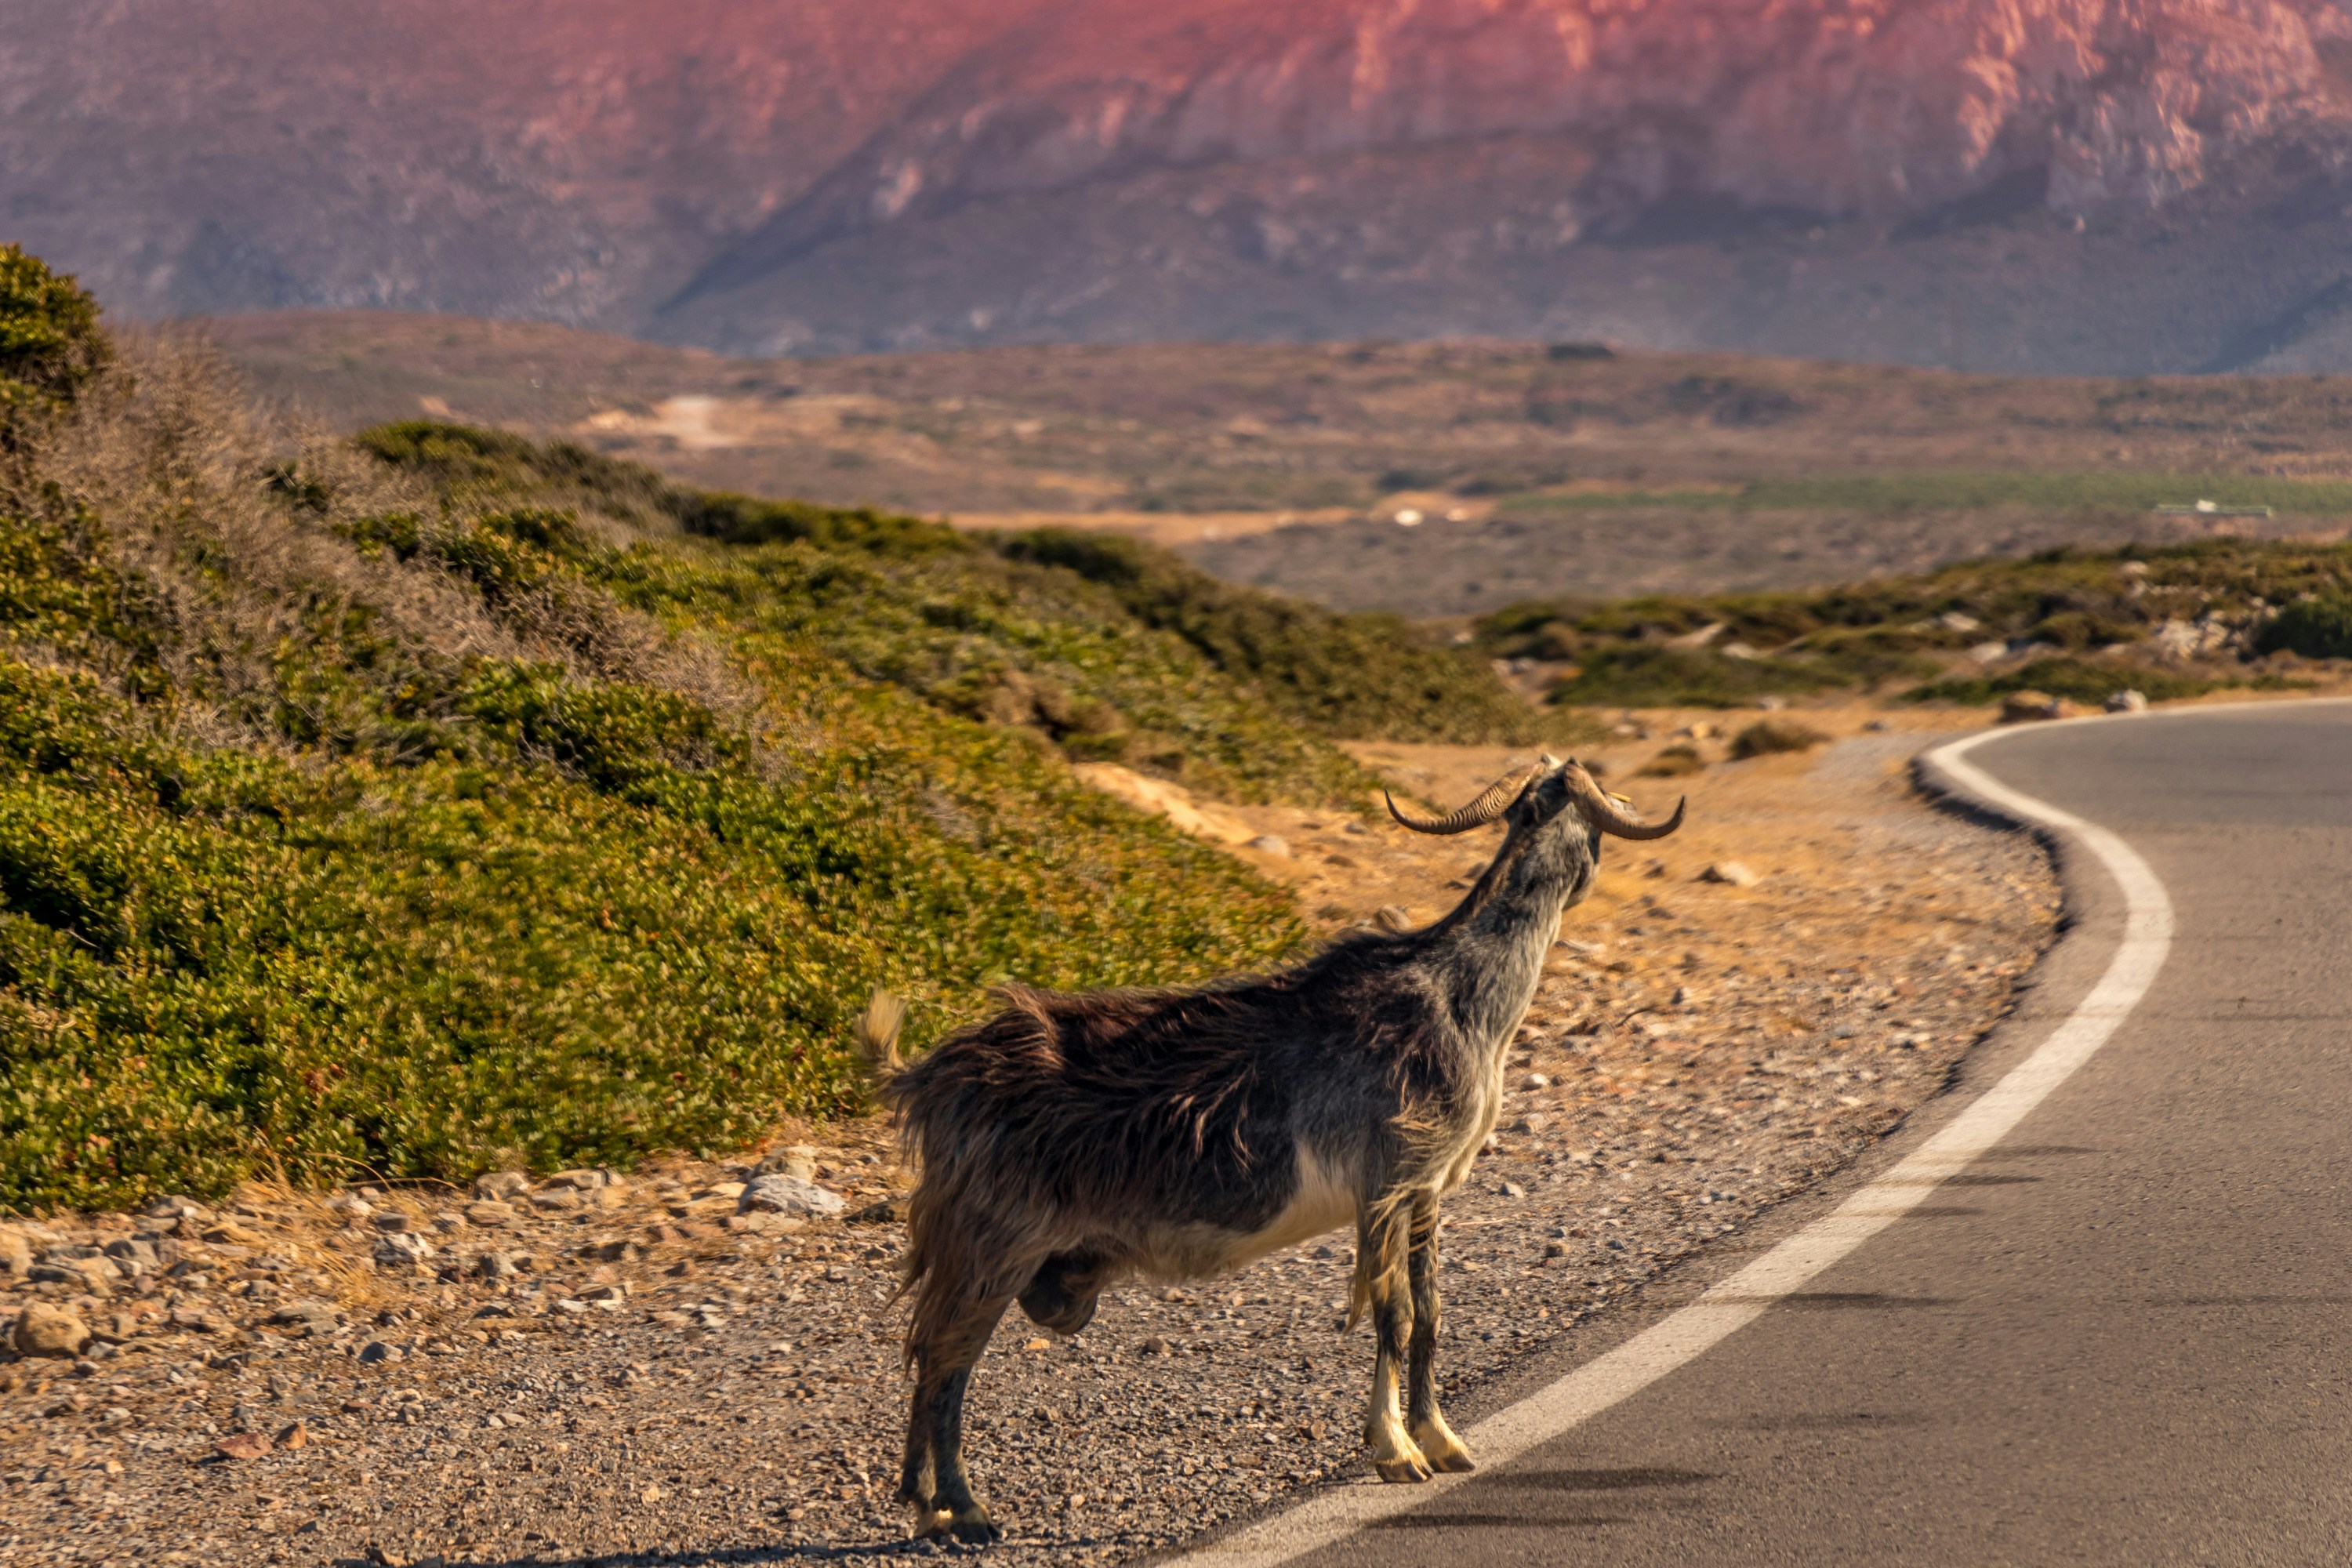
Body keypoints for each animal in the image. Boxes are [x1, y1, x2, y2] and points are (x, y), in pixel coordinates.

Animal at [878, 755, 1684, 1541]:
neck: (1457, 994)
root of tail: (930, 1079)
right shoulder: (1387, 1181)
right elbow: (1391, 1312)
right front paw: (1396, 1452)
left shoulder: (1427, 1189)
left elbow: (1429, 1311)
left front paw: (1442, 1439)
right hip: (995, 1241)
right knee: (945, 1361)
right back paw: (966, 1513)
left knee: (928, 1352)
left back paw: (924, 1509)